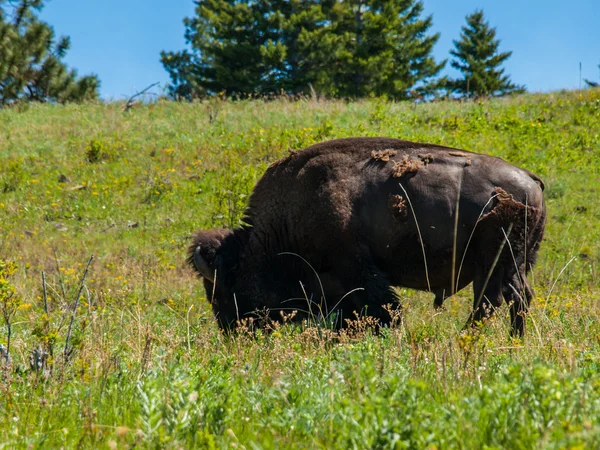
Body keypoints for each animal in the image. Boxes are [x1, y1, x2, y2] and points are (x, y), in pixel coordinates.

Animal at [190, 139, 548, 336]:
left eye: (226, 290)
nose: (231, 331)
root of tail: (531, 179)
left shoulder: (357, 273)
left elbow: (384, 310)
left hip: (495, 263)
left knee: (496, 301)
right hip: (505, 266)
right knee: (510, 300)